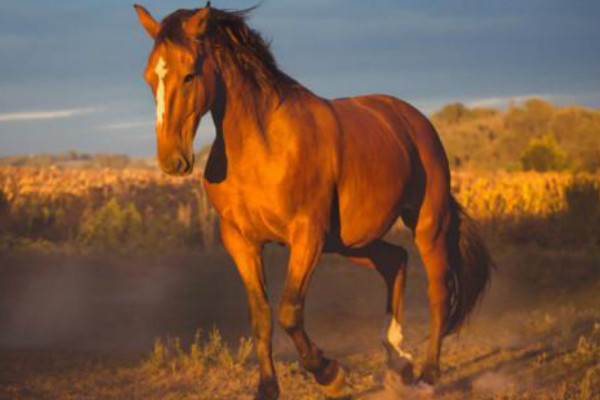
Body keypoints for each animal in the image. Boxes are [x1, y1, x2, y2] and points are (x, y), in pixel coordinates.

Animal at [135, 3, 492, 400]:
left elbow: (289, 311)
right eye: (150, 77)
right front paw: (267, 388)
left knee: (438, 290)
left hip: (426, 224)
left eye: (189, 75)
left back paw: (427, 374)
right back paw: (398, 359)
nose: (172, 160)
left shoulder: (307, 235)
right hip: (350, 242)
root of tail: (413, 120)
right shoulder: (241, 241)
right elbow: (260, 316)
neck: (263, 147)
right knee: (395, 261)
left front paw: (330, 374)